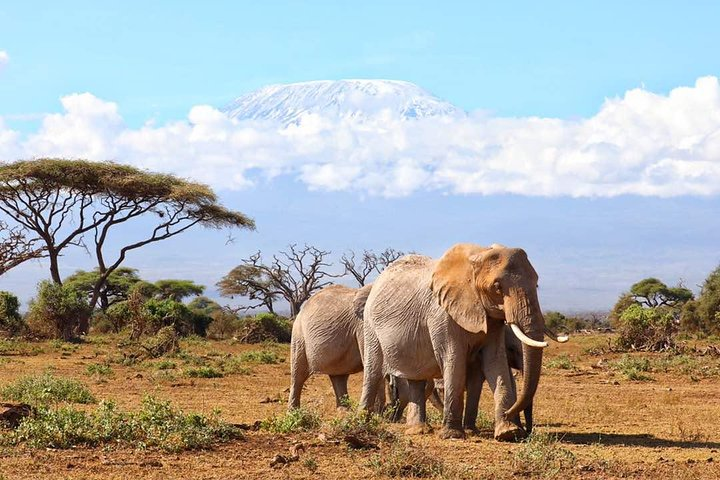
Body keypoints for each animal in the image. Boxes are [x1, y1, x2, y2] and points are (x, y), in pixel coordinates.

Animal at [360, 242, 552, 440]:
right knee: (373, 371)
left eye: (536, 284)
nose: (510, 413)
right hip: (370, 325)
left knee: (416, 378)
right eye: (497, 287)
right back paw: (362, 422)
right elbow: (454, 359)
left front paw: (508, 432)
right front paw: (453, 434)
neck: (478, 256)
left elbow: (495, 362)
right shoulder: (442, 314)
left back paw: (418, 429)